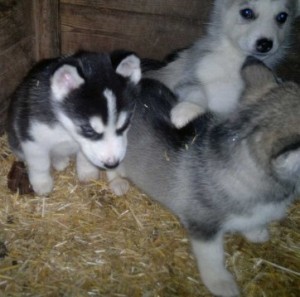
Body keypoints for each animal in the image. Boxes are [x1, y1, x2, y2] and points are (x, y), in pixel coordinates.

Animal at [6, 49, 142, 195]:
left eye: (124, 125)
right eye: (88, 129)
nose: (112, 164)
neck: (66, 128)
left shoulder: (85, 145)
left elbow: (84, 157)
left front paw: (87, 172)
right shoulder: (31, 138)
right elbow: (40, 164)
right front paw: (41, 183)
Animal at [109, 59, 300, 294]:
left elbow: (252, 222)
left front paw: (256, 232)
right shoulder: (203, 226)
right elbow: (212, 257)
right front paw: (221, 283)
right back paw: (117, 182)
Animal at [144, 0, 298, 126]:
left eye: (282, 17)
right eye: (247, 13)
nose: (265, 44)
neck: (234, 63)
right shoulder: (189, 78)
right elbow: (197, 91)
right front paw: (188, 108)